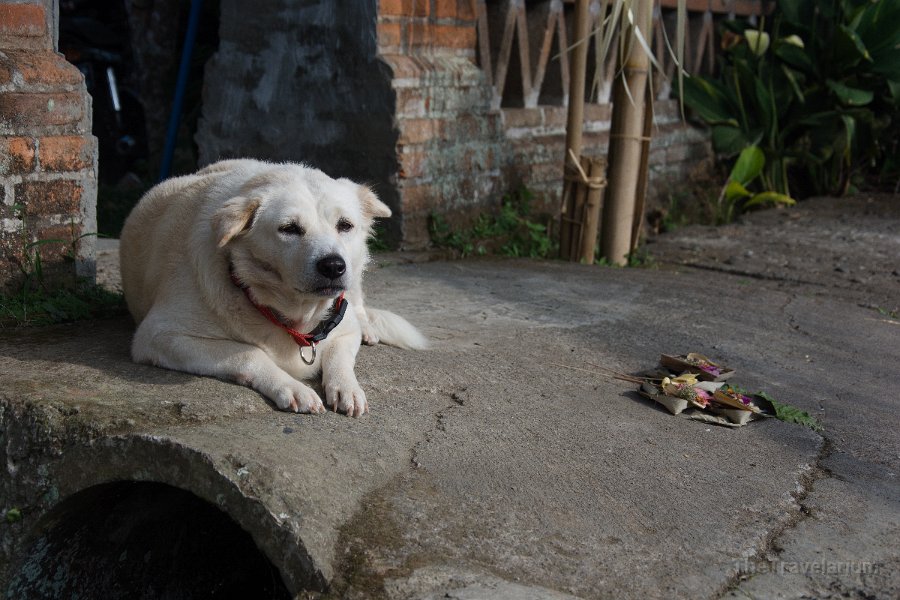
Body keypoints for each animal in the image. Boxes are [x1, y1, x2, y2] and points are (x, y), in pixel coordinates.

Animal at [118, 159, 426, 418]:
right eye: (289, 228)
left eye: (345, 225)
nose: (333, 266)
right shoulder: (157, 336)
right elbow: (249, 353)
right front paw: (292, 387)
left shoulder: (344, 328)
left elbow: (339, 358)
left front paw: (346, 388)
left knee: (359, 303)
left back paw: (368, 329)